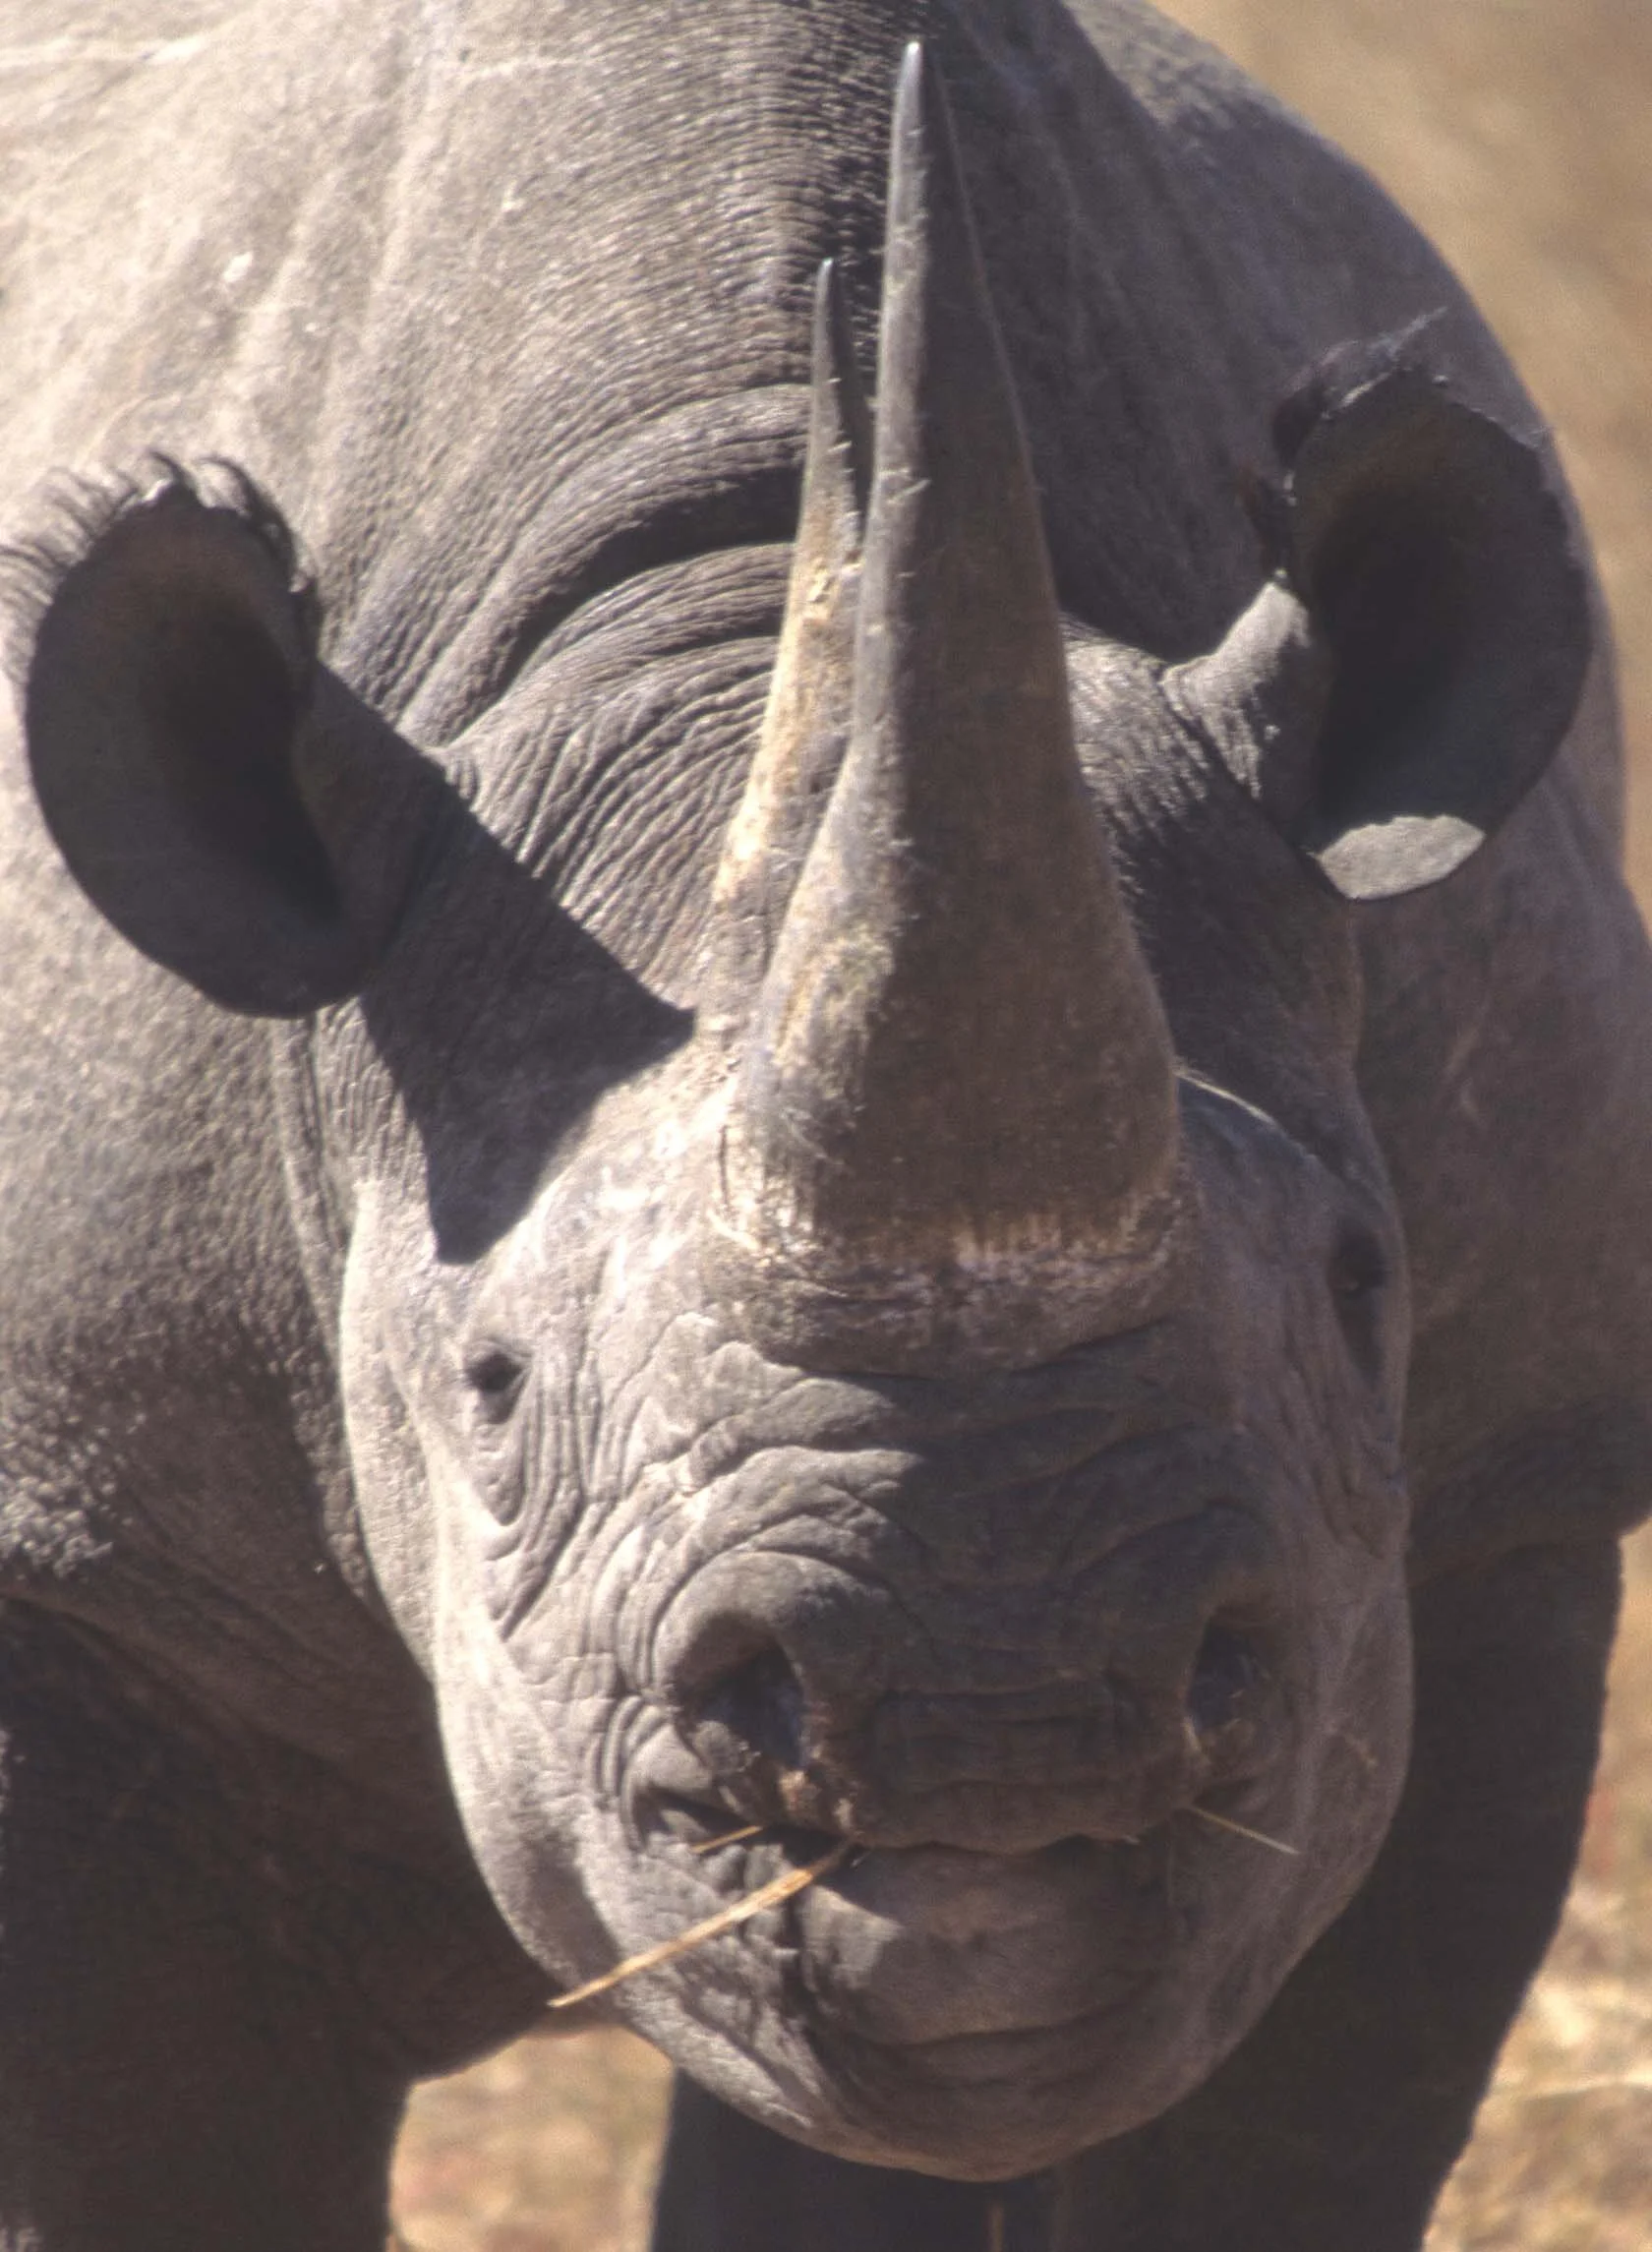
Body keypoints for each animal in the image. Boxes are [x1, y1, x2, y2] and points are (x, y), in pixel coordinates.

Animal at [1, 2, 1649, 2247]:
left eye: (1362, 1284)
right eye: (491, 1386)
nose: (997, 1719)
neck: (709, 576)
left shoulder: (1507, 1484)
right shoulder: (92, 1551)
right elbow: (161, 2145)